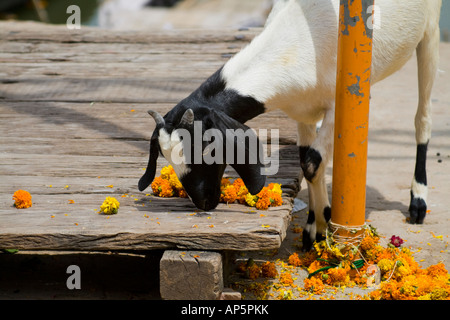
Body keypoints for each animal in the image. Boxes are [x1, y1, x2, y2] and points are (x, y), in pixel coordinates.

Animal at [141, 0, 442, 250]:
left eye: (207, 149)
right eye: (165, 156)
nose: (203, 202)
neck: (296, 43)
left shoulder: (340, 105)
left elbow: (311, 162)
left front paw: (325, 227)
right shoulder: (302, 112)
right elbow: (310, 166)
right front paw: (315, 228)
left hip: (430, 31)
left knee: (423, 117)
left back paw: (418, 201)